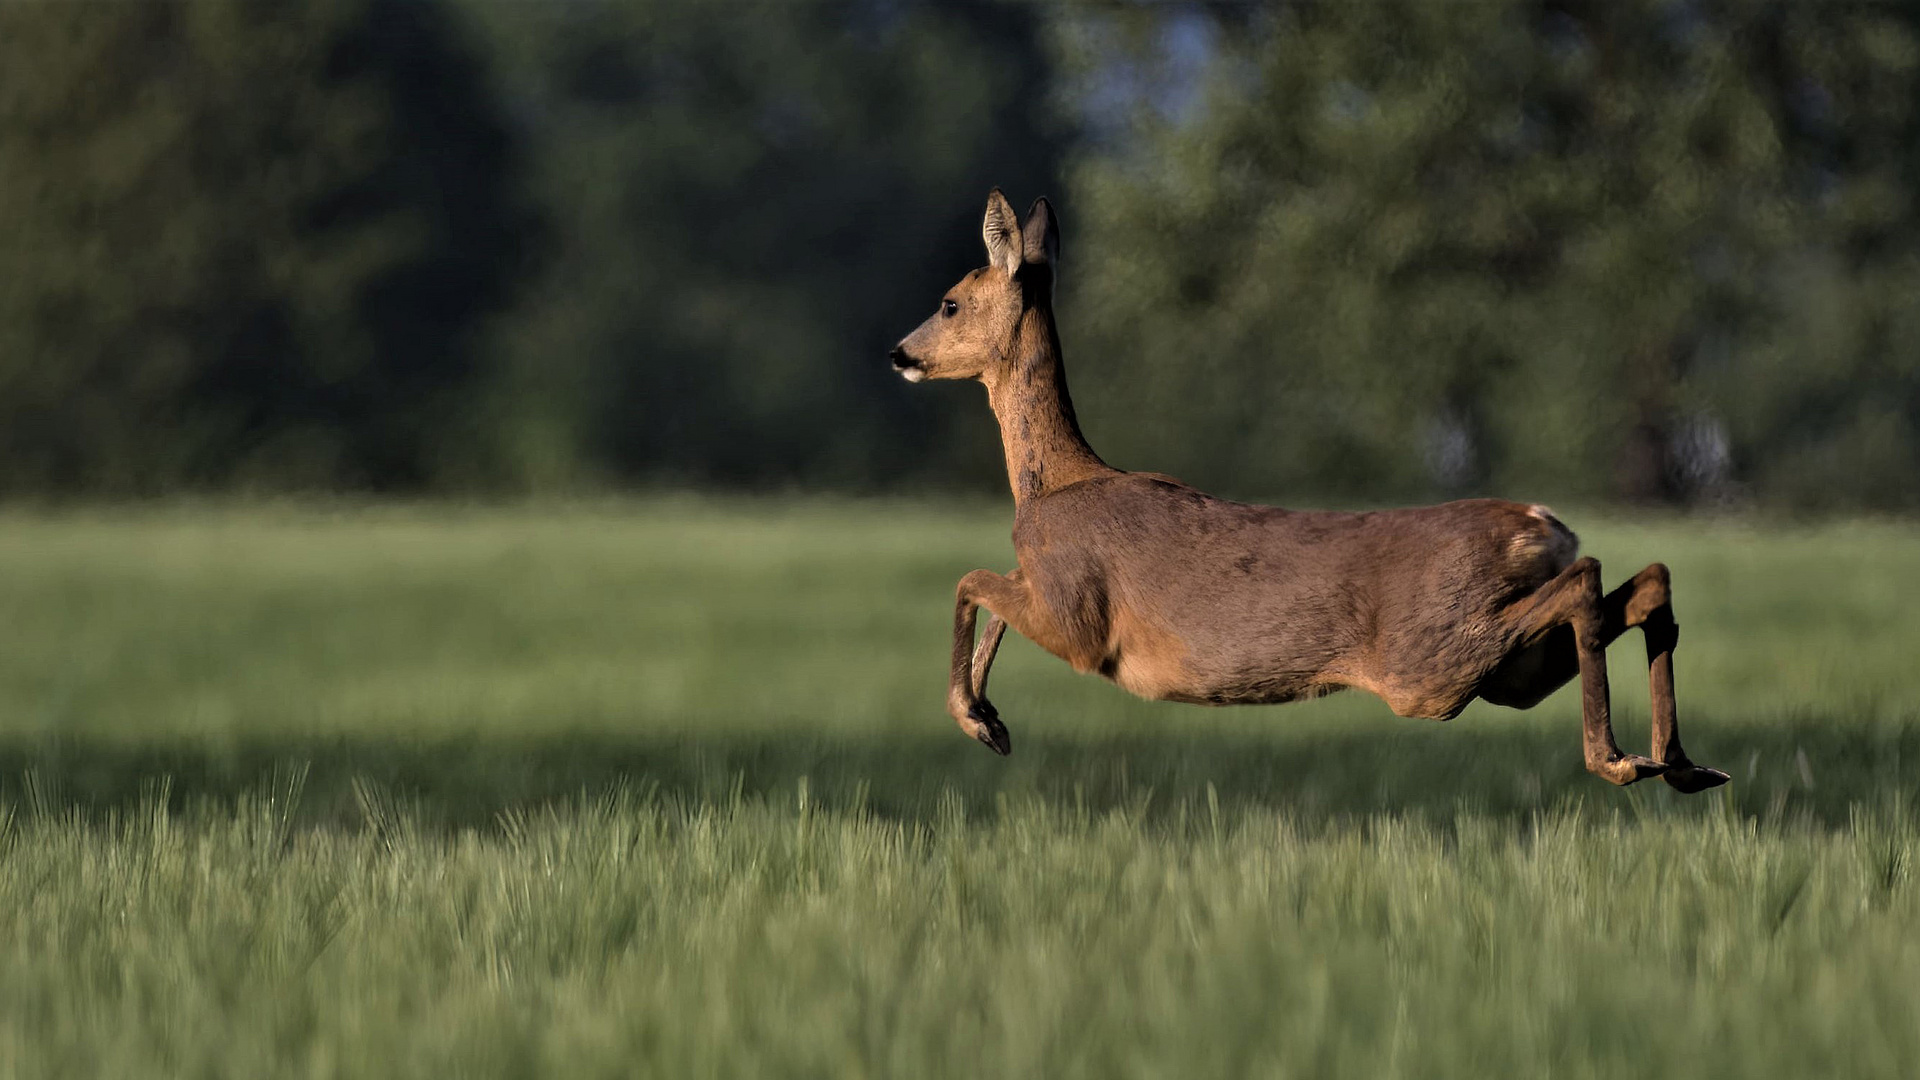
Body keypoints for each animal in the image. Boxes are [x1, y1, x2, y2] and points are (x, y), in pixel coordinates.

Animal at [890, 187, 1735, 791]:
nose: (899, 353)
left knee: (1588, 582)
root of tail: (1543, 523)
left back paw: (1619, 759)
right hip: (1509, 675)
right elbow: (989, 595)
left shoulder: (1079, 620)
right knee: (1642, 584)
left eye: (950, 302)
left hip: (1426, 663)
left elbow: (971, 581)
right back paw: (1681, 764)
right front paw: (990, 717)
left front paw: (977, 720)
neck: (1052, 486)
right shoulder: (1048, 596)